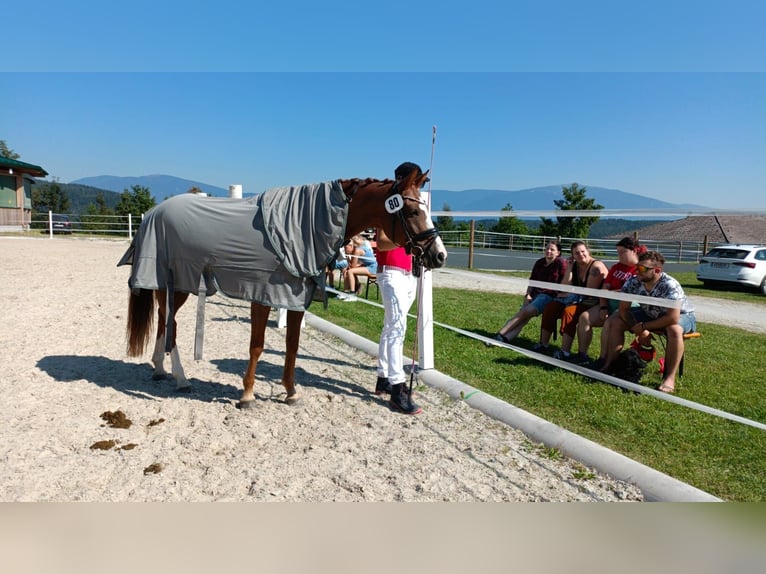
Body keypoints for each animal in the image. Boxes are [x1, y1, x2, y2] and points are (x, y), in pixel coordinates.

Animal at [120, 166, 450, 410]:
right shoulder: (262, 294)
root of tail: (153, 213)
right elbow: (257, 345)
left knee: (165, 323)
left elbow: (292, 344)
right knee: (171, 326)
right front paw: (247, 396)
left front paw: (290, 392)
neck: (304, 226)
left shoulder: (296, 298)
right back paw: (181, 378)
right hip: (176, 283)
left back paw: (160, 369)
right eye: (412, 212)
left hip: (173, 285)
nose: (439, 255)